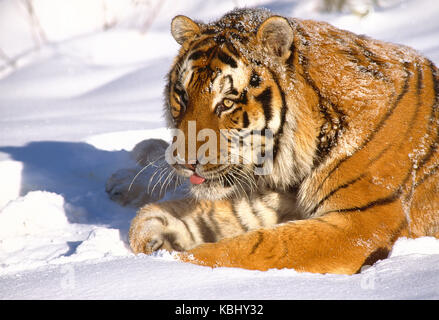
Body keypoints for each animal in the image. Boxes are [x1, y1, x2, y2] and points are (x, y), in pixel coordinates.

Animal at [127, 7, 439, 274]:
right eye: (182, 97)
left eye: (227, 103)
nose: (184, 163)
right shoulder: (275, 199)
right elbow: (215, 217)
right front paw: (153, 232)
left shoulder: (362, 221)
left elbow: (256, 247)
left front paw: (169, 266)